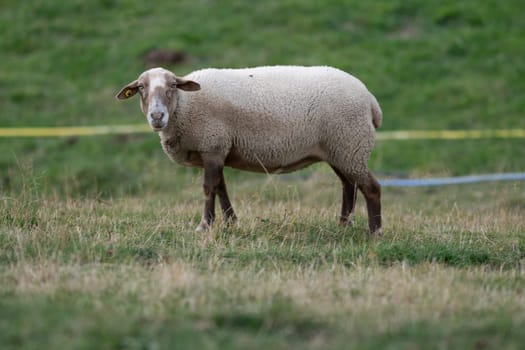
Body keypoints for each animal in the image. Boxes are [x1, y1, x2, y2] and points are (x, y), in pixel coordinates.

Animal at [116, 65, 382, 235]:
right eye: (141, 87)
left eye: (172, 85)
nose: (157, 116)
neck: (186, 105)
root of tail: (370, 100)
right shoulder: (219, 149)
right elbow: (221, 187)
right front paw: (231, 222)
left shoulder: (212, 145)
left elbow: (208, 187)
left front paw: (204, 225)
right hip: (341, 151)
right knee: (348, 186)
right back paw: (343, 225)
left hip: (350, 145)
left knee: (371, 187)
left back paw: (375, 231)